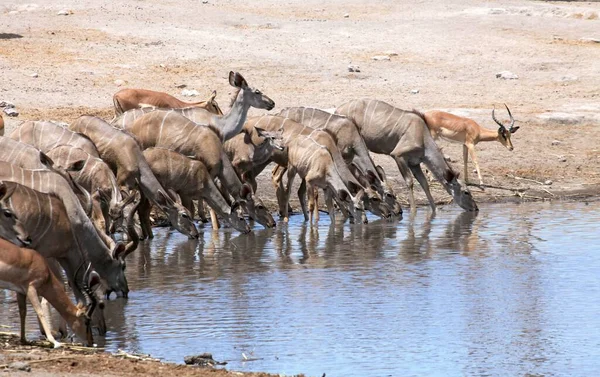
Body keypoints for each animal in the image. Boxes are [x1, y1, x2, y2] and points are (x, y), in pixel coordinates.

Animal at [332, 98, 478, 213]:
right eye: (466, 192)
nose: (475, 208)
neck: (423, 137)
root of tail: (337, 110)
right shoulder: (398, 156)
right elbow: (409, 182)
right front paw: (413, 211)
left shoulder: (415, 163)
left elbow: (424, 183)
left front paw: (434, 210)